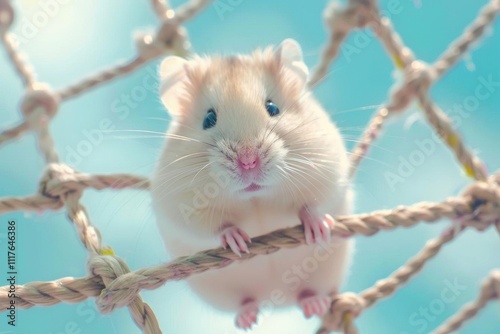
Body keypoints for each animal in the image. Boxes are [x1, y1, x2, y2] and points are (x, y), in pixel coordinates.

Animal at [150, 38, 354, 328]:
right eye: (208, 119)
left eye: (273, 108)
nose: (248, 162)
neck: (255, 198)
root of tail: (277, 300)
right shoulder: (178, 210)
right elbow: (213, 228)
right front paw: (237, 239)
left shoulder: (330, 174)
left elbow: (314, 205)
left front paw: (318, 230)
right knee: (246, 302)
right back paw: (247, 320)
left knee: (307, 294)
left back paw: (314, 303)